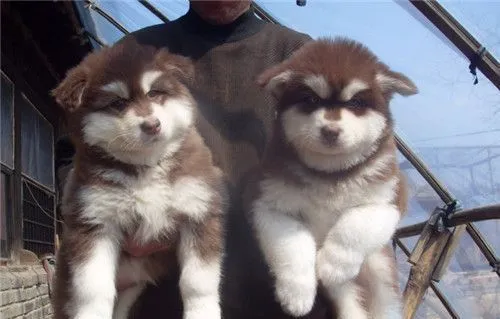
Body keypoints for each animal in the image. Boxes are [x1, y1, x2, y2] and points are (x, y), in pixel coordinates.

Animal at [50, 39, 225, 319]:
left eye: (154, 93)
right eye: (118, 103)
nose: (152, 125)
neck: (146, 164)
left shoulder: (198, 212)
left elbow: (198, 282)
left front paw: (203, 313)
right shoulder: (96, 221)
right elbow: (93, 289)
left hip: (134, 290)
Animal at [250, 38, 418, 319]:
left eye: (355, 104)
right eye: (310, 99)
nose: (330, 130)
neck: (330, 175)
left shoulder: (390, 199)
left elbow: (355, 223)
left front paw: (333, 263)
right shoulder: (270, 204)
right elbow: (293, 245)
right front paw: (297, 292)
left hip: (381, 276)